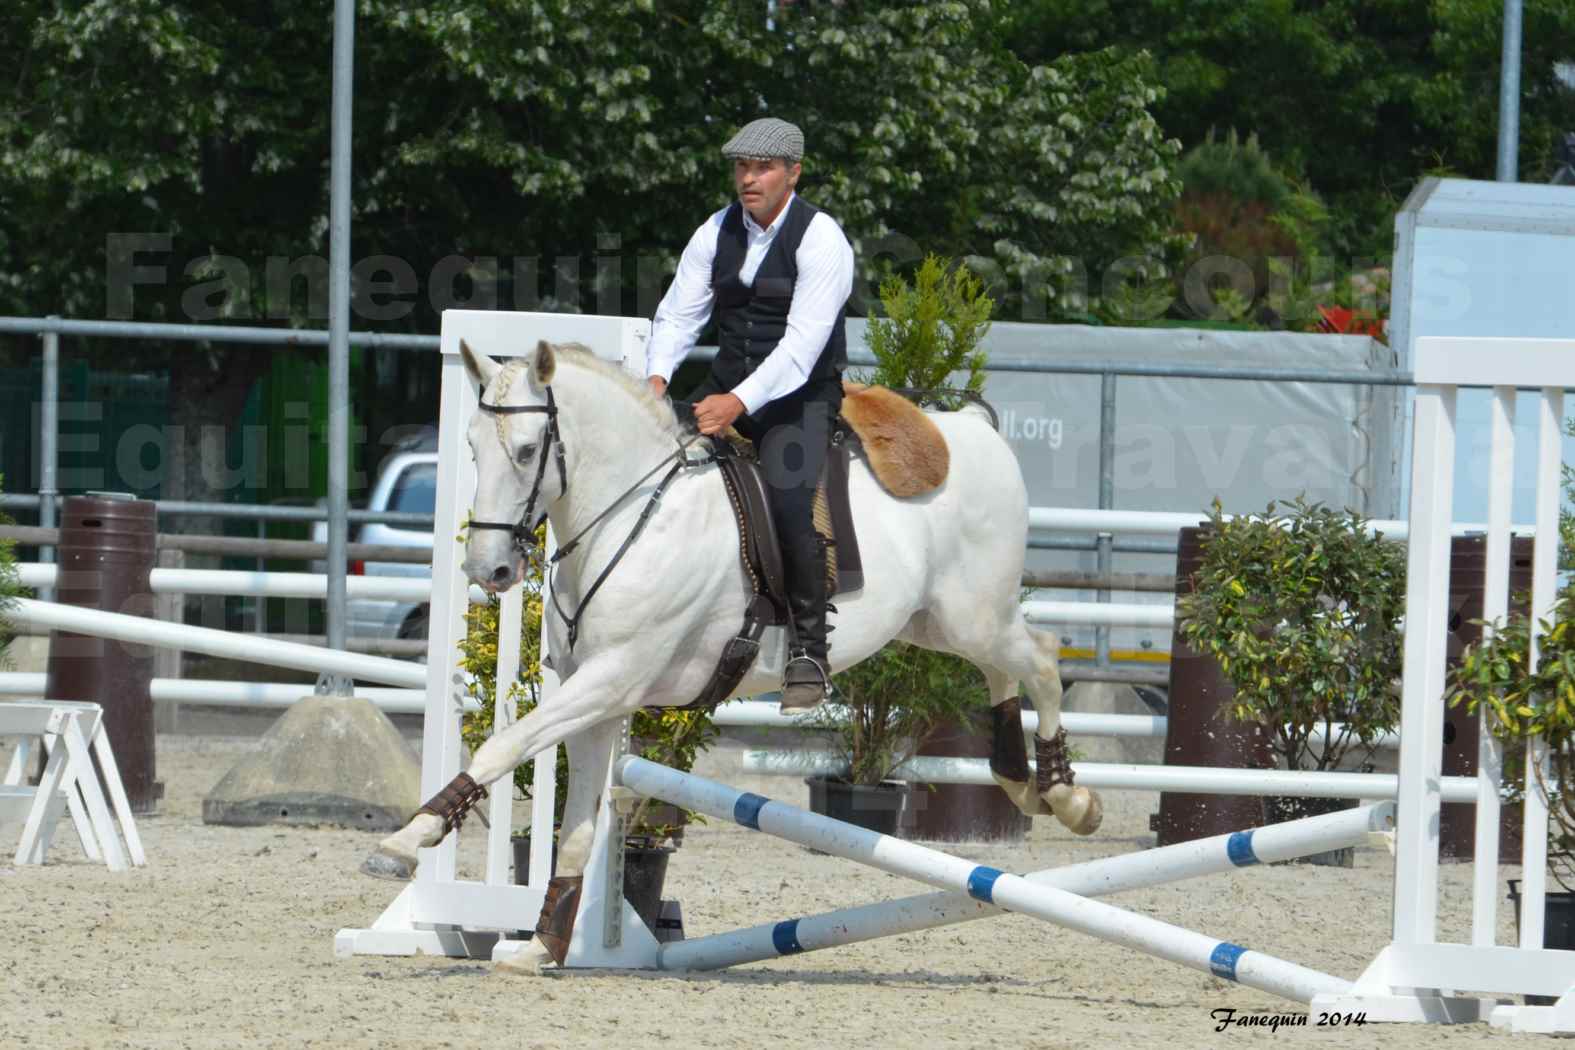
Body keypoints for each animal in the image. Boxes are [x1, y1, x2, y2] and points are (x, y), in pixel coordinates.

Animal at [360, 344, 1102, 963]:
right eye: (470, 449)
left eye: (524, 450)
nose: (487, 570)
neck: (633, 515)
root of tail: (972, 430)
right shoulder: (598, 699)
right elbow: (574, 825)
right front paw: (543, 945)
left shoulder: (611, 679)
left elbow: (503, 745)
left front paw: (408, 840)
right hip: (938, 622)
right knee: (1004, 669)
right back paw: (1019, 778)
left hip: (973, 613)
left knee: (1040, 658)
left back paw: (1066, 795)